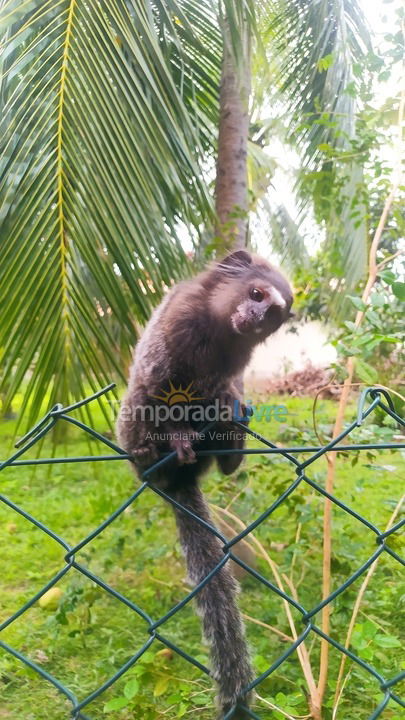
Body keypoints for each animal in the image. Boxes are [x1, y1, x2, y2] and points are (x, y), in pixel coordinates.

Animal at [115, 250, 292, 716]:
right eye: (255, 294)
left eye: (274, 314)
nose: (257, 316)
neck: (217, 328)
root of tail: (179, 481)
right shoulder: (175, 323)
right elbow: (157, 384)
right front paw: (177, 434)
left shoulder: (234, 360)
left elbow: (220, 388)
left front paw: (229, 413)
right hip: (132, 434)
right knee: (140, 403)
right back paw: (154, 457)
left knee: (223, 414)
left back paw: (232, 447)